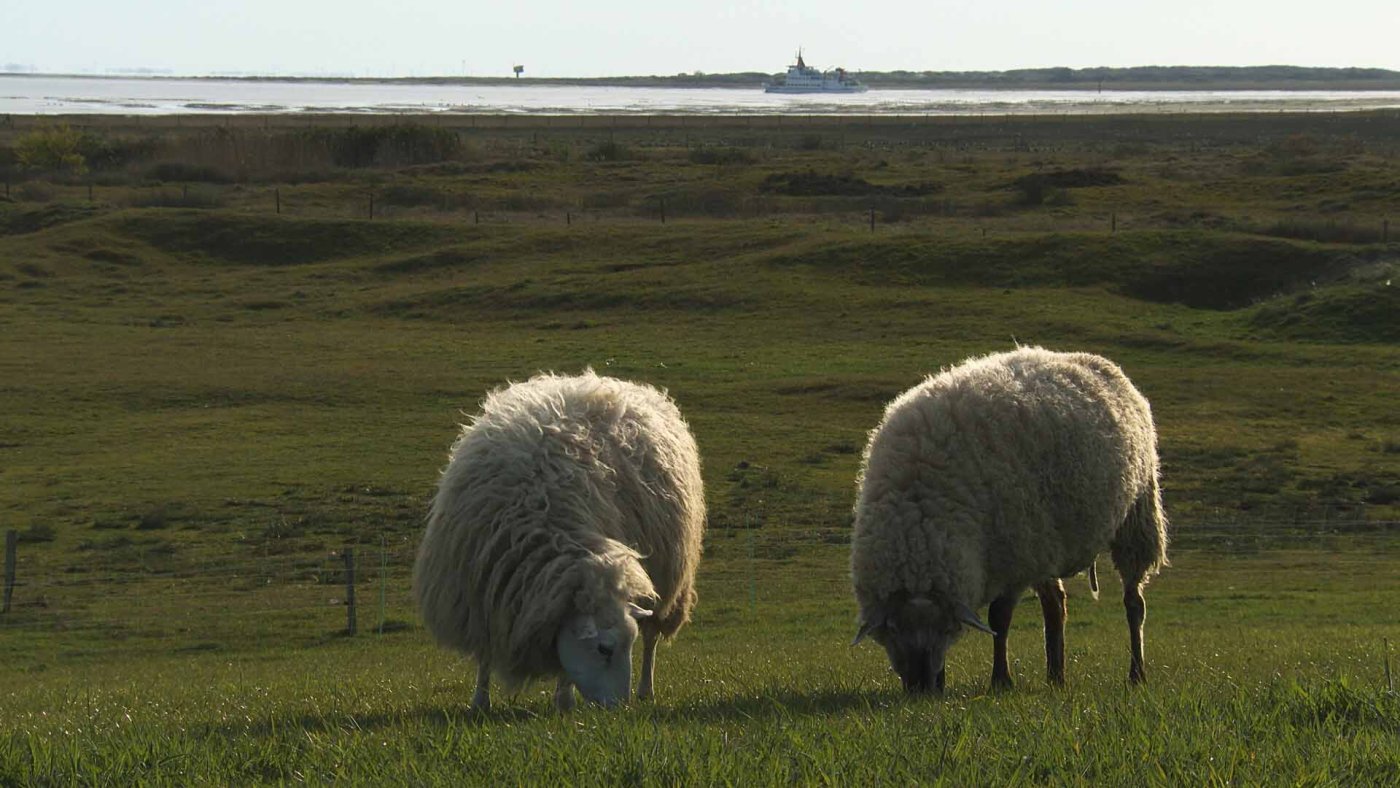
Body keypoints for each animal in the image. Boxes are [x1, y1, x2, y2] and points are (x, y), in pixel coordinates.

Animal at [413, 370, 705, 712]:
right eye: (604, 649)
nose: (620, 708)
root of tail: (603, 380)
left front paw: (564, 701)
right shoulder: (481, 591)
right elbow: (484, 651)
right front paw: (480, 701)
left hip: (670, 578)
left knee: (652, 637)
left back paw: (646, 689)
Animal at [850, 346, 1168, 692]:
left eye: (946, 629)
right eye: (893, 629)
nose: (921, 686)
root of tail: (1097, 361)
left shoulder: (1011, 558)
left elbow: (999, 619)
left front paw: (1000, 680)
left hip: (1134, 515)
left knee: (1133, 603)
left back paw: (1136, 674)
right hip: (1043, 537)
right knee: (1056, 604)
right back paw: (1056, 676)